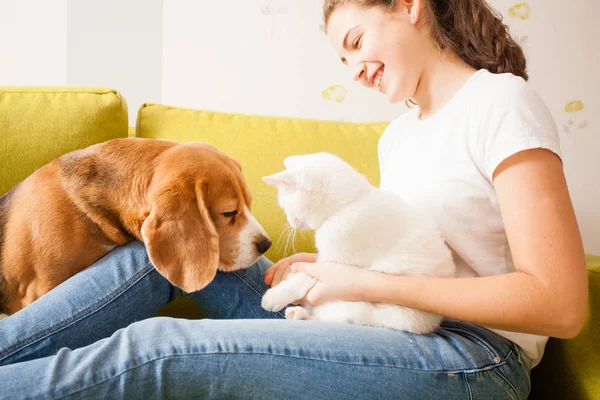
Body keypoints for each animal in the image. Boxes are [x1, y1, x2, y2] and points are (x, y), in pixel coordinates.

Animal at [258, 153, 454, 334]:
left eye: (285, 207)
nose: (290, 222)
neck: (349, 204)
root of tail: (433, 322)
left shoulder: (338, 263)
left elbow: (305, 276)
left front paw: (276, 295)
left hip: (378, 312)